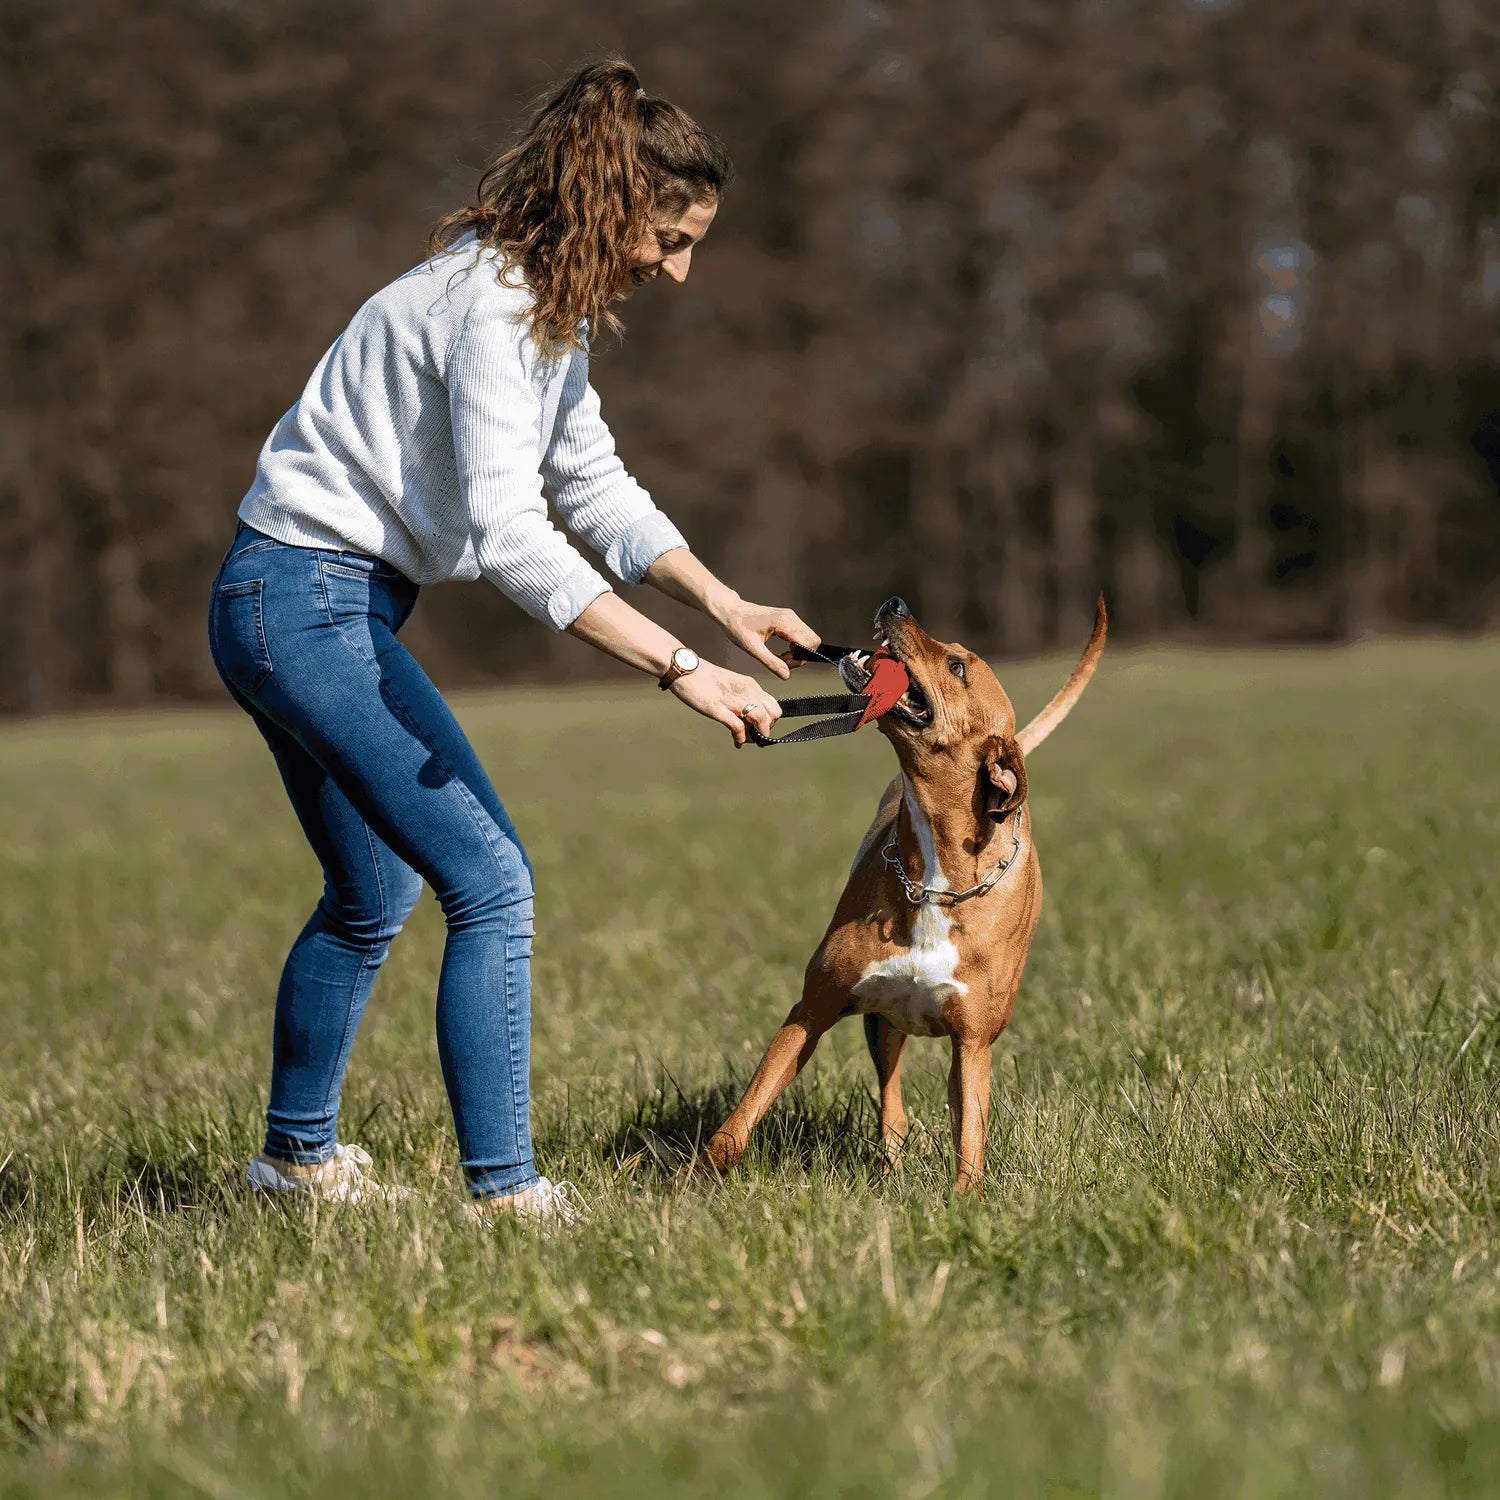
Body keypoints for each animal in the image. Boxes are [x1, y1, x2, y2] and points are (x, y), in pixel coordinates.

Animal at [696, 591, 1110, 1188]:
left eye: (958, 666)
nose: (895, 604)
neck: (935, 882)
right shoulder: (813, 1008)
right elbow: (742, 1115)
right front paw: (692, 1181)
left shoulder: (973, 1044)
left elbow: (970, 1139)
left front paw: (965, 1202)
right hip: (882, 1024)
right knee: (891, 1102)